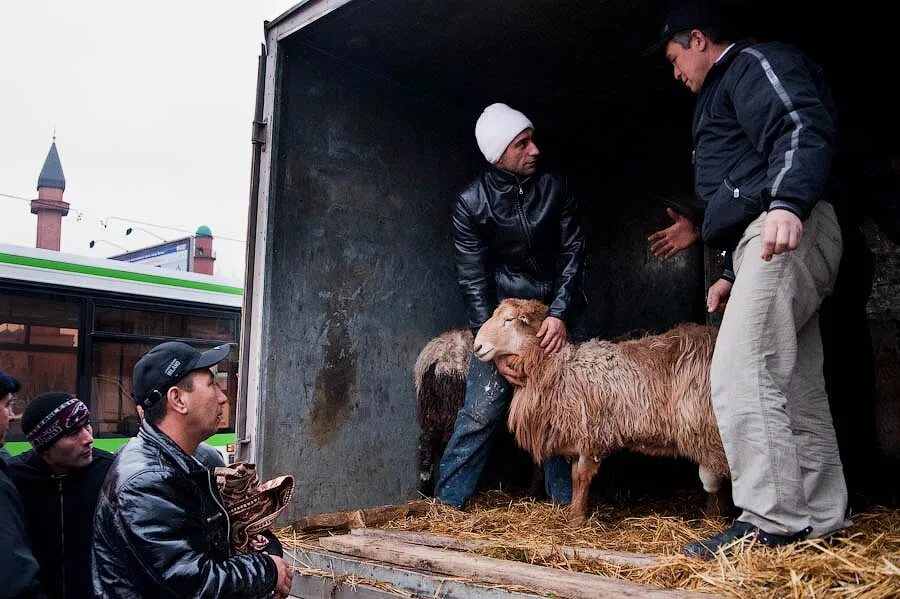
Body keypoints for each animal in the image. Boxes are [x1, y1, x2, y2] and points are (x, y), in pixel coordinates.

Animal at [472, 300, 732, 524]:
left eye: (508, 319)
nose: (477, 347)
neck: (559, 368)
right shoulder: (578, 437)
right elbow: (574, 478)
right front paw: (574, 513)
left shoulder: (593, 435)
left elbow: (581, 478)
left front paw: (576, 520)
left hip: (706, 429)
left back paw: (713, 519)